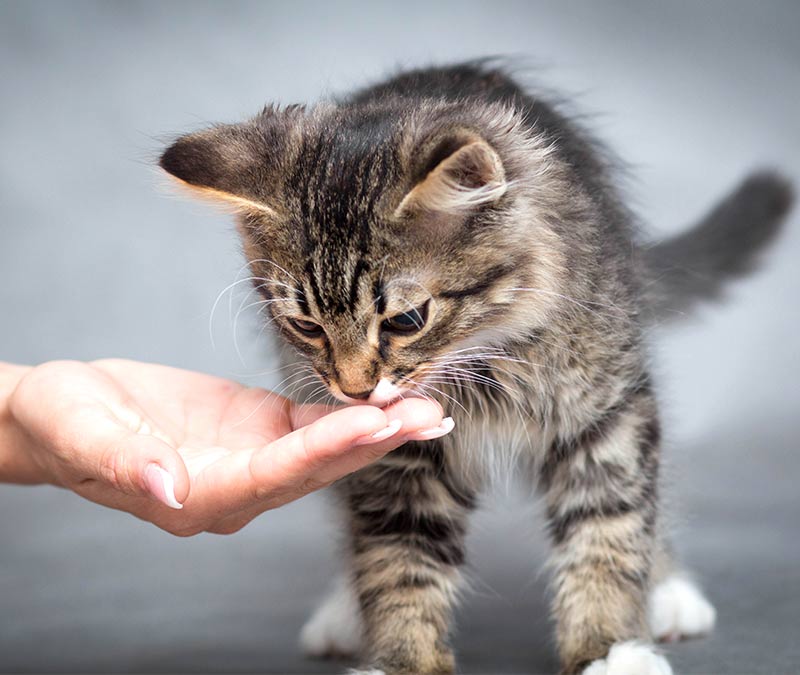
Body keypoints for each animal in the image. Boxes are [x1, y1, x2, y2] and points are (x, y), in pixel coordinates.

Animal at [159, 60, 792, 672]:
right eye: (307, 327)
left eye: (406, 320)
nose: (356, 391)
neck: (480, 364)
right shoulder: (395, 456)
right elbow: (397, 560)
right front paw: (404, 659)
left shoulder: (606, 413)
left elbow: (608, 531)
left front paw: (609, 648)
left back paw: (668, 592)